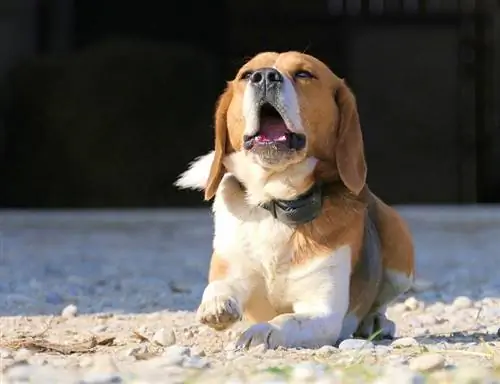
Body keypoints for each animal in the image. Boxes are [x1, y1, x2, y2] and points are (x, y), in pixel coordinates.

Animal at [176, 51, 414, 348]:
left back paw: (376, 322)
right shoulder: (232, 266)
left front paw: (261, 332)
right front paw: (217, 304)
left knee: (380, 303)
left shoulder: (322, 312)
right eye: (246, 74)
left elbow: (287, 320)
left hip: (400, 252)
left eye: (304, 74)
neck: (276, 202)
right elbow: (221, 285)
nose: (265, 76)